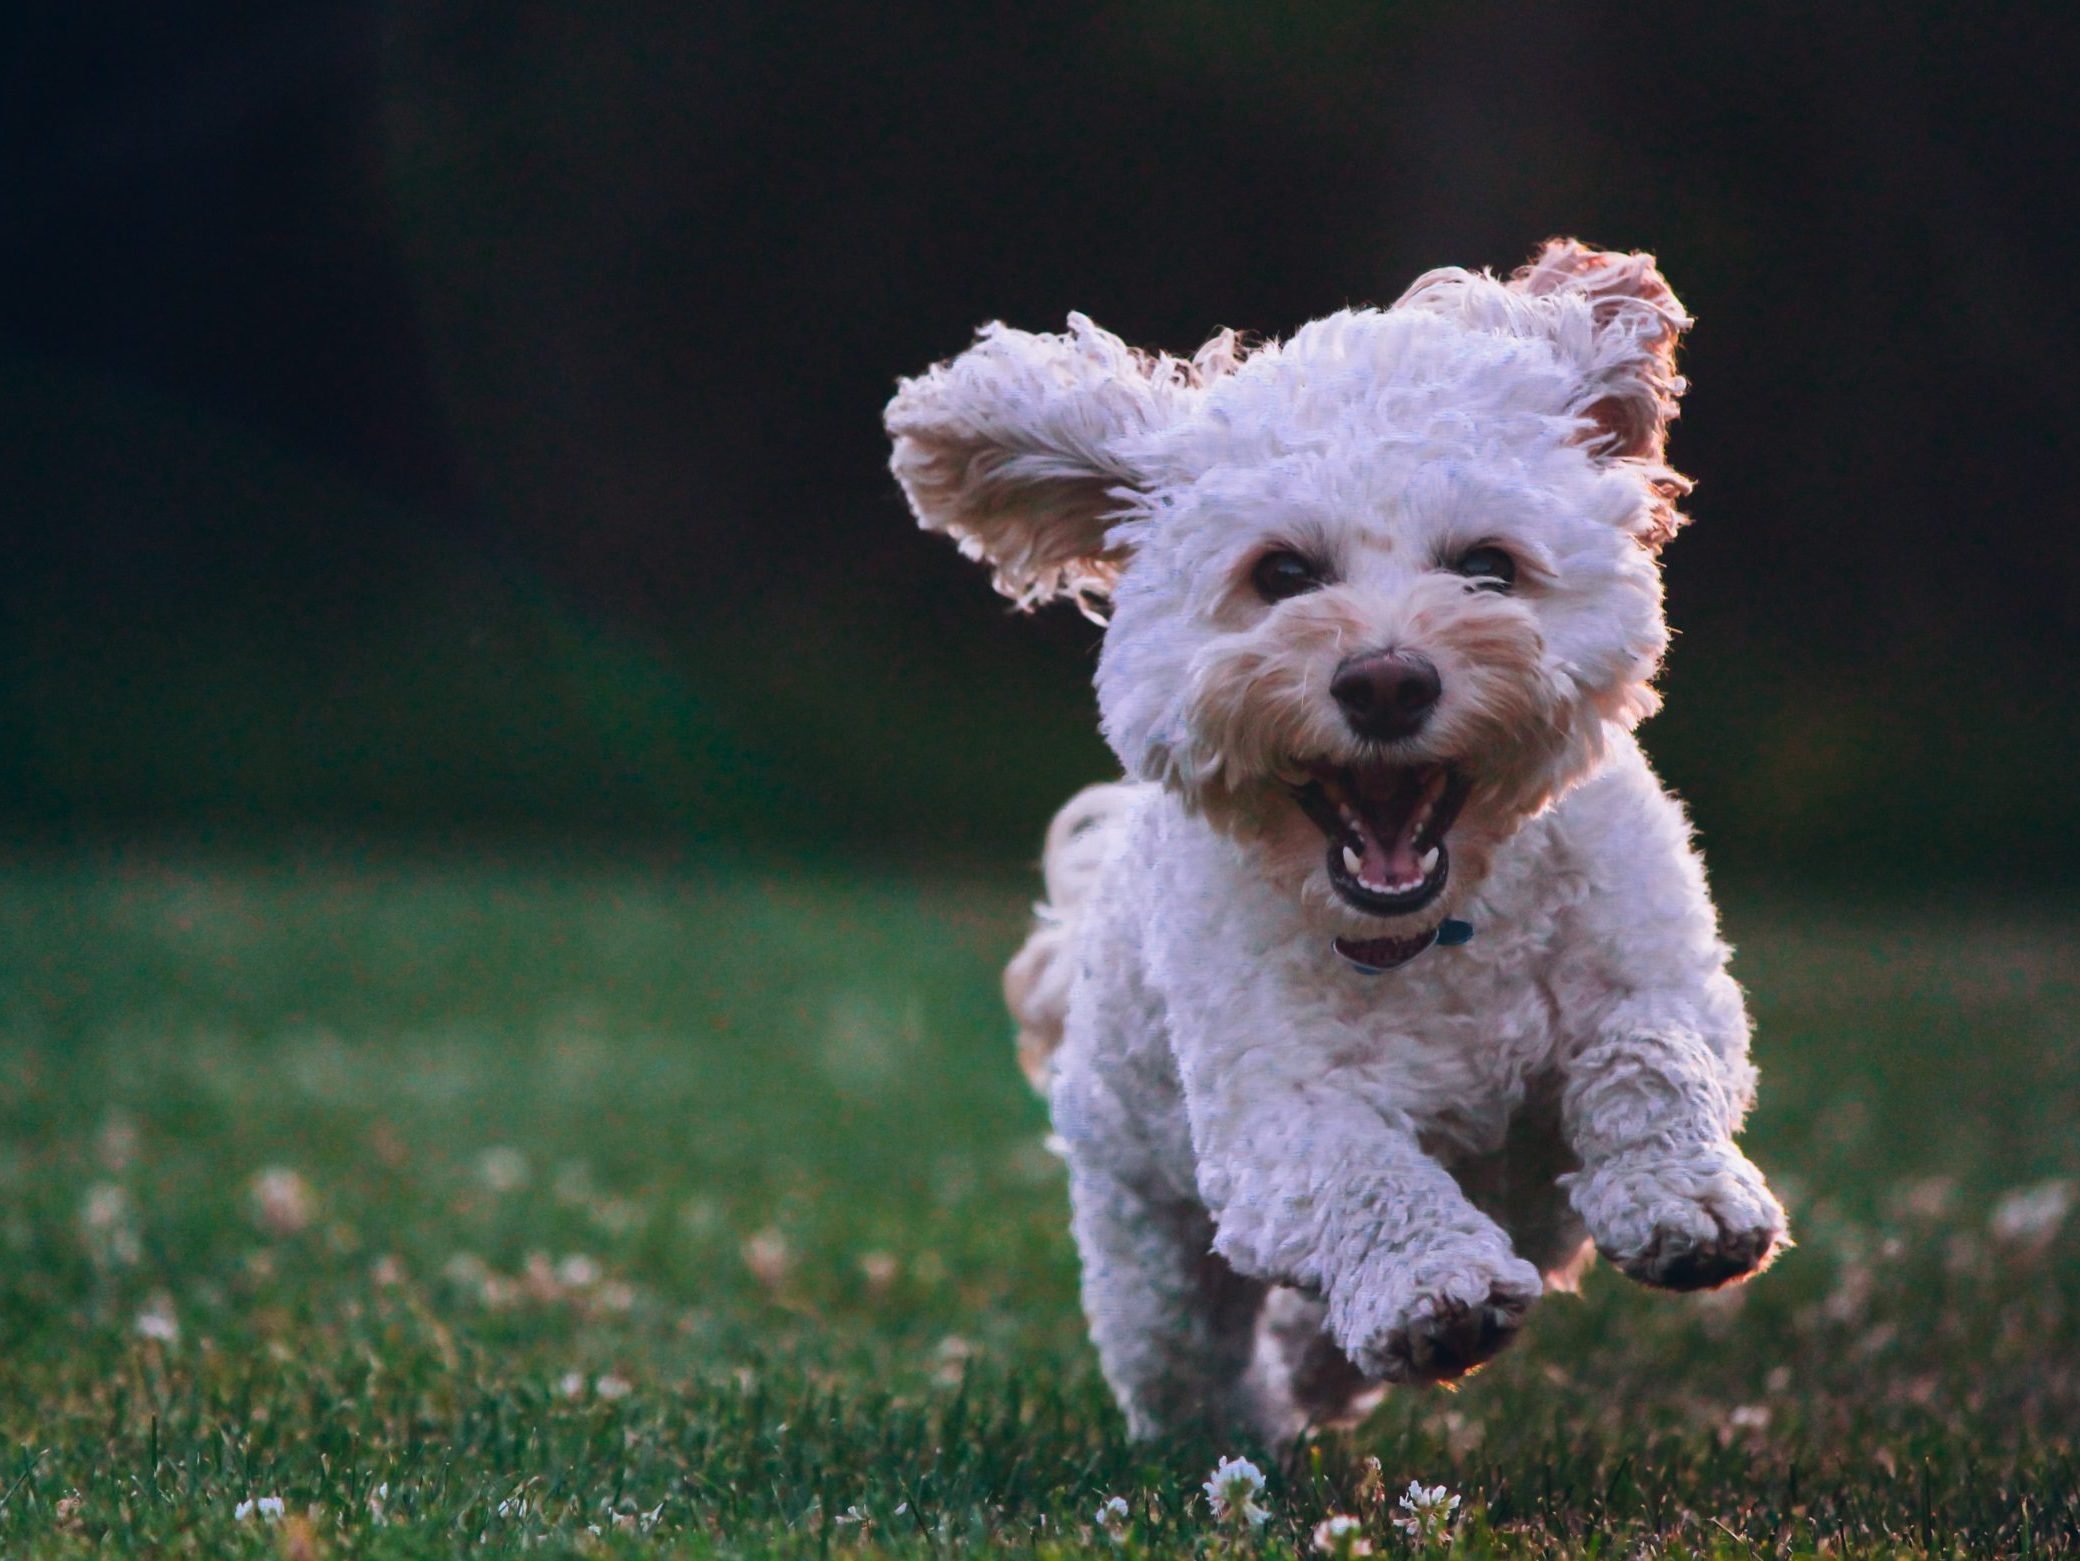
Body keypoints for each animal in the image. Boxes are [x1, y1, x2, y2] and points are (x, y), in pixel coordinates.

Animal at [877, 238, 1788, 1448]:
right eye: (1281, 574)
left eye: (1487, 566)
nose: (1387, 681)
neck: (1440, 931)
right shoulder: (1273, 1116)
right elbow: (1360, 1172)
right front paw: (1431, 1290)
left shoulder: (1660, 972)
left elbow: (1651, 1055)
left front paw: (1687, 1200)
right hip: (1143, 1228)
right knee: (1182, 1351)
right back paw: (1245, 1427)